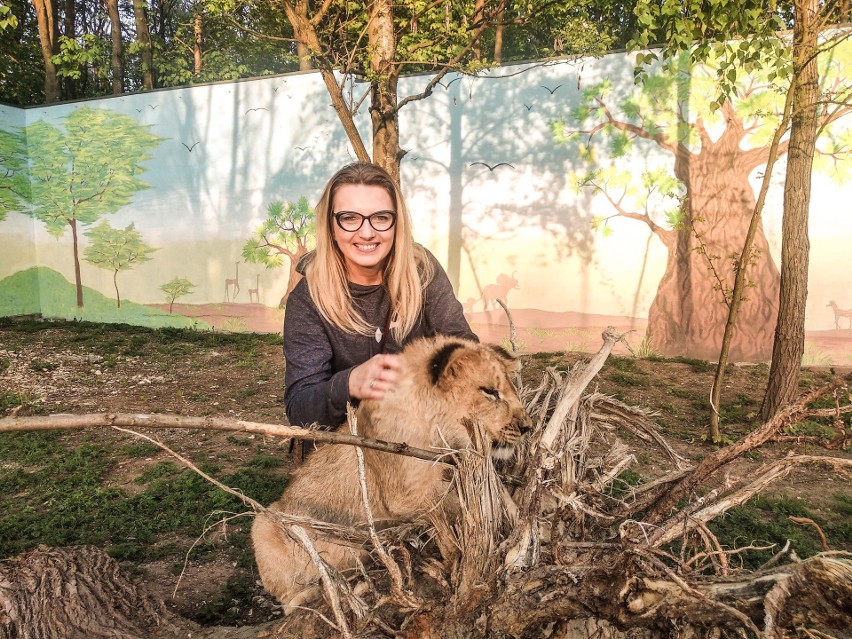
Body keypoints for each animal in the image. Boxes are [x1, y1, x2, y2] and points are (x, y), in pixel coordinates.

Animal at [253, 336, 528, 608]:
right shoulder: (403, 496)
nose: (527, 427)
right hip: (263, 521)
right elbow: (449, 504)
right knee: (289, 598)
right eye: (489, 391)